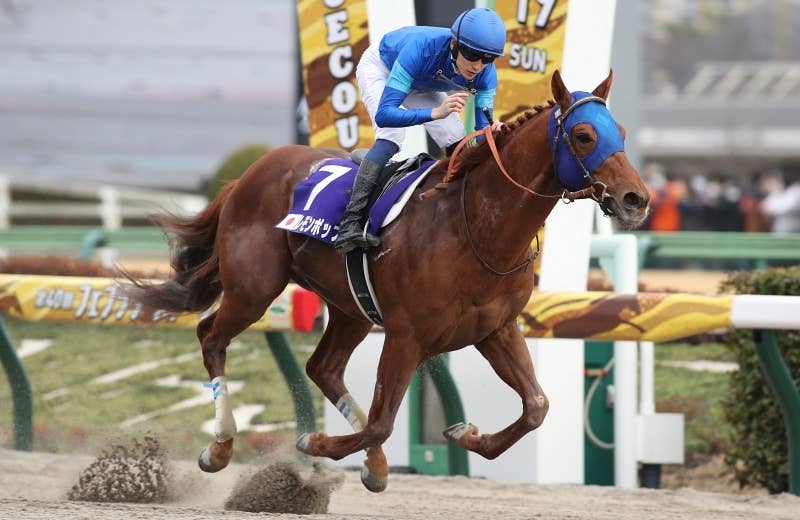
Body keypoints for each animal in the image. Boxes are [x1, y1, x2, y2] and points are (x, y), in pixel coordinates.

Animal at [127, 70, 649, 493]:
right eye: (583, 135)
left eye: (620, 132)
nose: (636, 199)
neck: (477, 226)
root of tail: (247, 174)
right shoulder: (407, 336)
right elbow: (382, 422)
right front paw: (316, 443)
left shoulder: (495, 330)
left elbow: (536, 406)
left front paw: (467, 434)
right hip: (254, 289)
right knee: (211, 337)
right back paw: (220, 448)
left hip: (350, 307)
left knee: (322, 366)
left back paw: (374, 463)